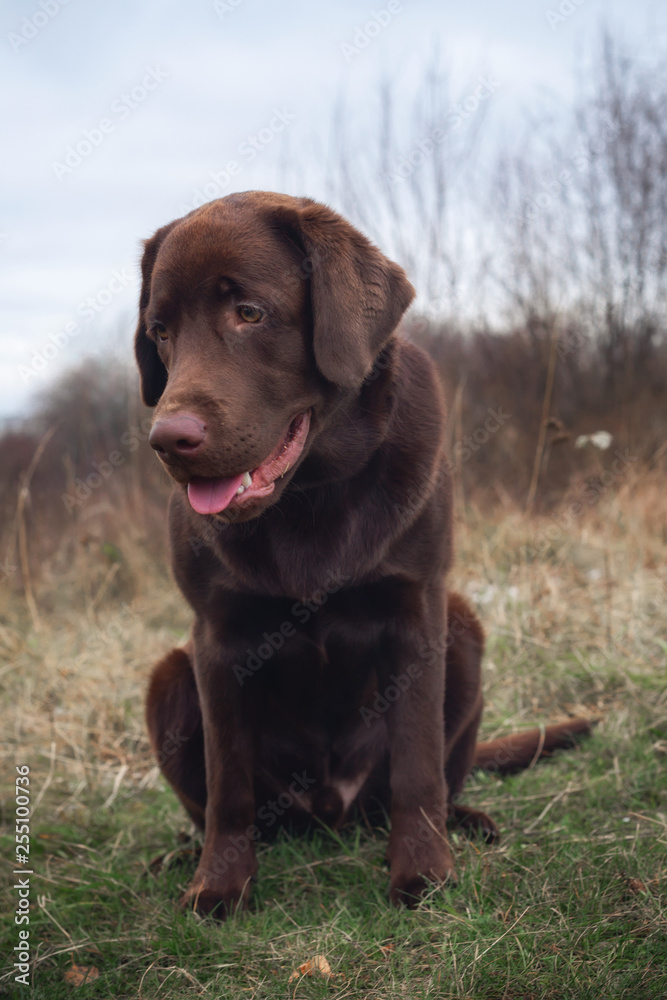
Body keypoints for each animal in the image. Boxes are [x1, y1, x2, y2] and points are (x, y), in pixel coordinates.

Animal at [134, 191, 588, 916]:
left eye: (249, 313)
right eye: (161, 331)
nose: (169, 439)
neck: (310, 495)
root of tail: (332, 810)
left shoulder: (416, 610)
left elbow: (417, 763)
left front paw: (423, 871)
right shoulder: (215, 638)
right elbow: (228, 787)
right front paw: (220, 885)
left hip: (463, 629)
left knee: (439, 778)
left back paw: (467, 822)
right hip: (169, 677)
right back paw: (181, 855)